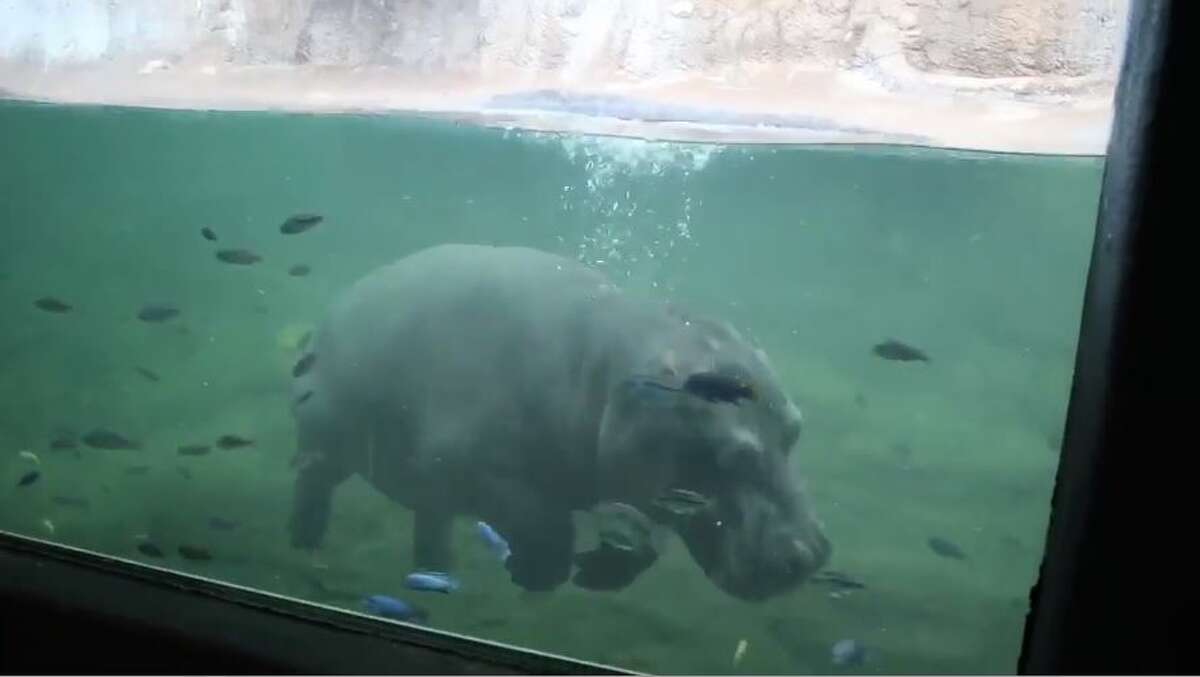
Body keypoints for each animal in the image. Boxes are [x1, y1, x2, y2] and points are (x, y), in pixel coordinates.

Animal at [289, 242, 830, 597]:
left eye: (796, 428)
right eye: (736, 454)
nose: (810, 554)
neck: (604, 366)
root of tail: (336, 306)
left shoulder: (647, 484)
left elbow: (643, 539)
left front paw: (598, 572)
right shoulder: (475, 464)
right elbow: (542, 522)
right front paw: (535, 573)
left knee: (431, 520)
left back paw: (435, 573)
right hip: (325, 436)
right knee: (313, 482)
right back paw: (306, 546)